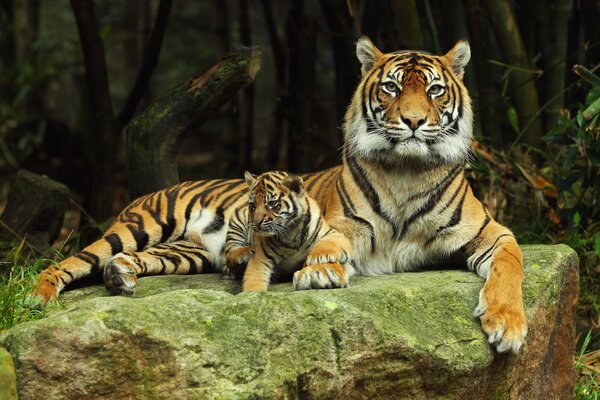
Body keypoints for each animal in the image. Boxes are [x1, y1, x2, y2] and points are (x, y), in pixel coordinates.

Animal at [36, 37, 524, 354]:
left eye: (435, 90)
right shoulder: (345, 227)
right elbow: (333, 247)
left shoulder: (492, 233)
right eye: (391, 87)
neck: (407, 172)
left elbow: (509, 266)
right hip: (137, 227)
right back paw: (41, 297)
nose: (414, 122)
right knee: (70, 262)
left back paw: (124, 277)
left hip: (183, 253)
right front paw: (322, 271)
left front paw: (508, 326)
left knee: (133, 261)